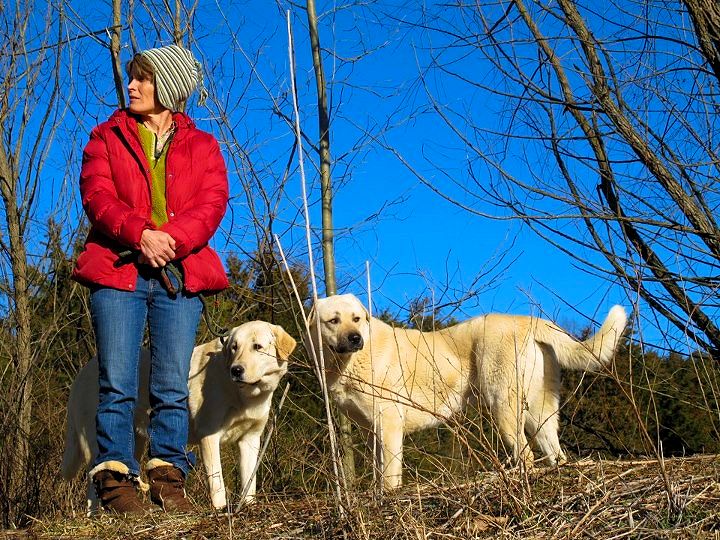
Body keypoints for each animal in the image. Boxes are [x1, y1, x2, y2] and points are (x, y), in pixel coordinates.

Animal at [62, 320, 296, 510]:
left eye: (258, 347)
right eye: (234, 347)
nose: (236, 370)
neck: (244, 394)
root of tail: (83, 372)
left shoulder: (250, 440)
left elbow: (249, 482)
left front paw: (248, 507)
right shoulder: (209, 437)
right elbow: (217, 483)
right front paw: (220, 510)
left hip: (134, 443)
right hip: (96, 441)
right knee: (93, 483)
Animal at [308, 294, 624, 488]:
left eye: (357, 318)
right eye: (333, 320)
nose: (355, 338)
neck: (350, 362)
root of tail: (529, 320)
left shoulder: (390, 426)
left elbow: (389, 477)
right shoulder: (373, 433)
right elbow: (377, 475)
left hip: (503, 408)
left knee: (526, 456)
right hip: (538, 414)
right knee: (556, 456)